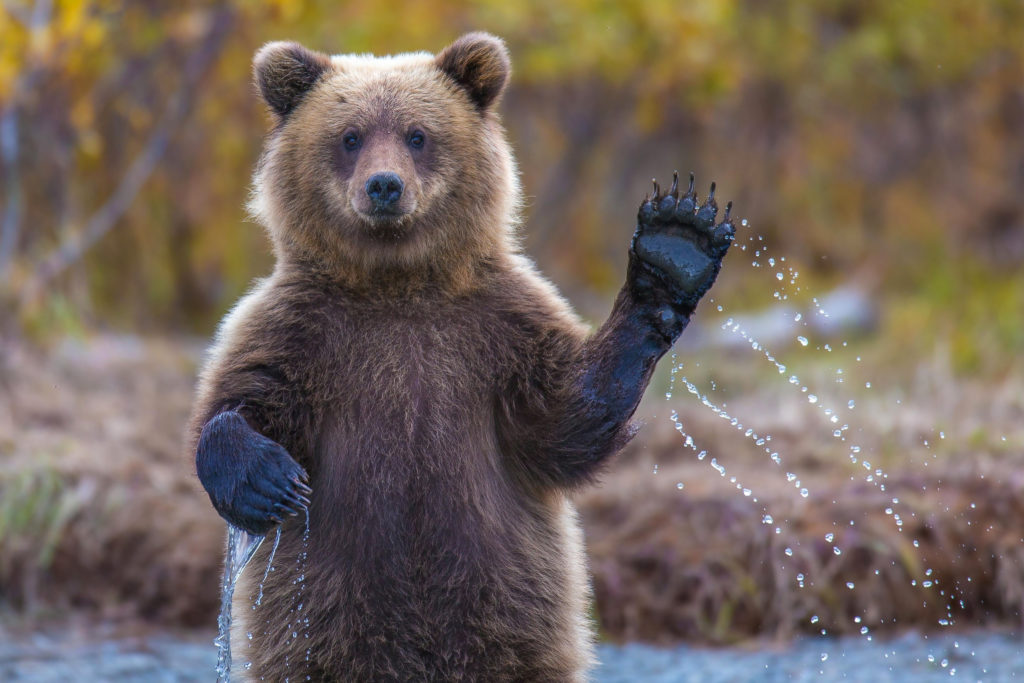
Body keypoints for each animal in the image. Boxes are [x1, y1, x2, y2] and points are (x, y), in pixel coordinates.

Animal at [188, 30, 737, 679]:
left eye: (417, 135)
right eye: (350, 136)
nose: (384, 186)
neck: (398, 284)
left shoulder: (496, 329)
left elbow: (564, 420)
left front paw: (674, 247)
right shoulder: (301, 330)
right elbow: (242, 398)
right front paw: (267, 479)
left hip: (508, 609)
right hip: (321, 617)